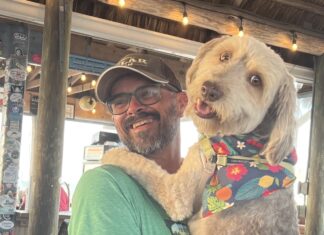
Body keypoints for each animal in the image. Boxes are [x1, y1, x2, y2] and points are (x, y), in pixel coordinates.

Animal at [102, 35, 300, 235]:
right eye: (225, 56)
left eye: (256, 80)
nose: (209, 89)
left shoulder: (177, 192)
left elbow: (141, 163)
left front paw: (111, 153)